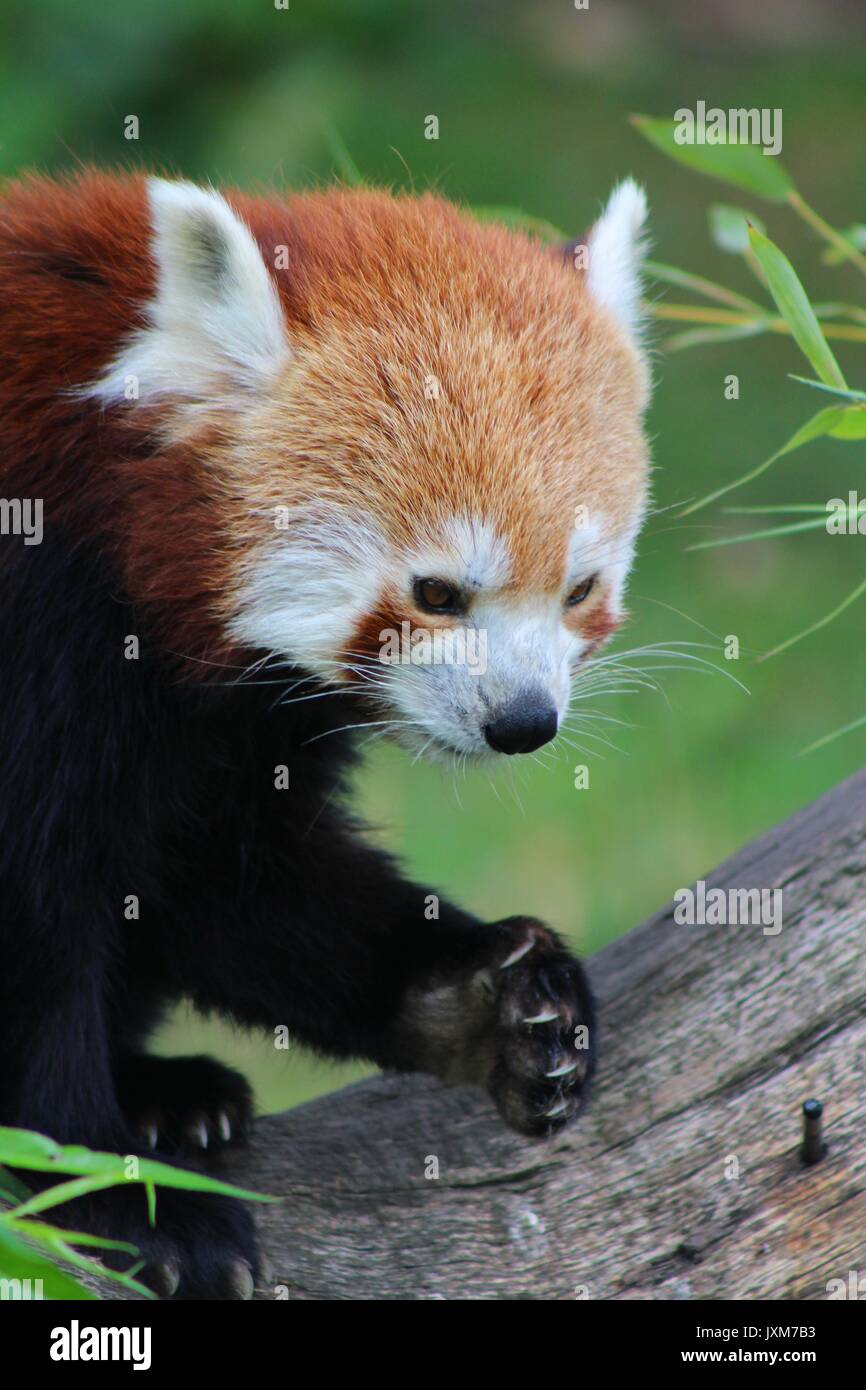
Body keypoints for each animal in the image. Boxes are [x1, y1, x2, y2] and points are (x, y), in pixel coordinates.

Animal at [0, 168, 650, 1295]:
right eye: (436, 592)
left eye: (578, 590)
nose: (523, 722)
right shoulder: (38, 621)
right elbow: (33, 927)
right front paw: (110, 1190)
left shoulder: (223, 724)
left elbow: (232, 876)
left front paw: (476, 995)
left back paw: (171, 1093)